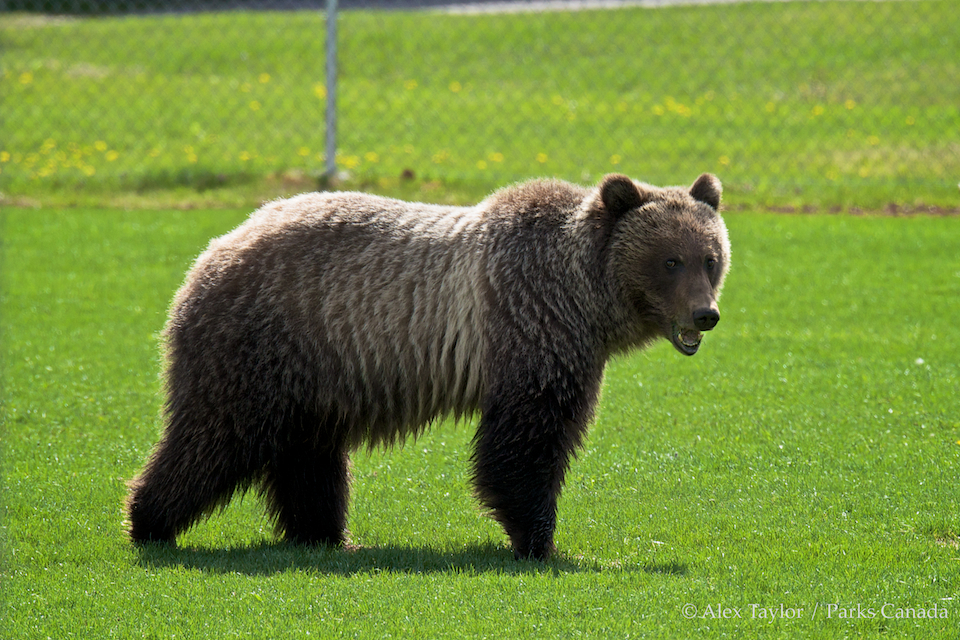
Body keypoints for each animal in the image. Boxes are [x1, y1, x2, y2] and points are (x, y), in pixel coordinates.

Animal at [125, 173, 730, 560]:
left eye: (710, 257)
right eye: (669, 260)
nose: (705, 315)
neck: (585, 297)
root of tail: (216, 247)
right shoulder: (529, 327)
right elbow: (528, 442)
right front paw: (540, 541)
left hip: (314, 368)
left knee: (308, 454)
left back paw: (325, 534)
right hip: (263, 341)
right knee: (214, 434)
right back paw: (149, 521)